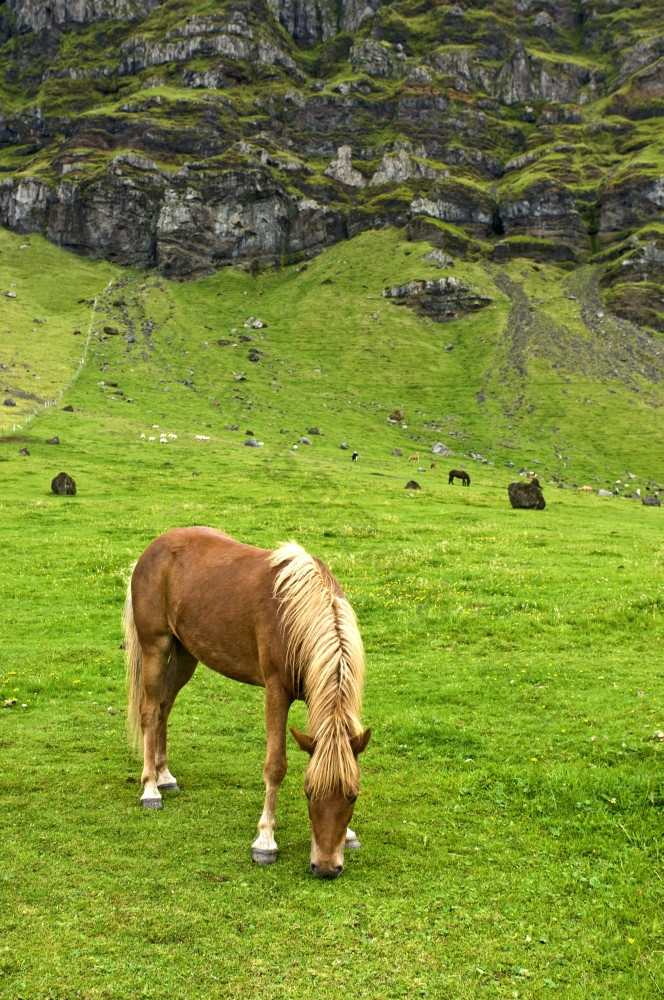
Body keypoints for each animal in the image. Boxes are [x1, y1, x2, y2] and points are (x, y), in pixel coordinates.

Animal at [124, 528, 370, 880]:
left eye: (352, 796)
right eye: (308, 793)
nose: (325, 868)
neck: (298, 616)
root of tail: (153, 549)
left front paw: (348, 835)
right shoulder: (276, 692)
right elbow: (275, 766)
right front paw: (265, 841)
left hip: (186, 653)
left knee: (163, 707)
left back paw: (165, 776)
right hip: (155, 646)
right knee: (149, 711)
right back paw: (150, 789)